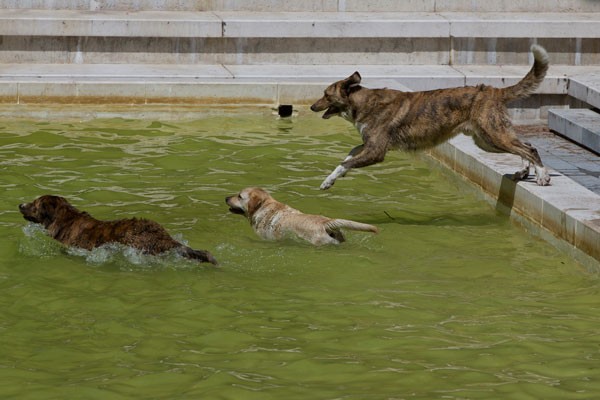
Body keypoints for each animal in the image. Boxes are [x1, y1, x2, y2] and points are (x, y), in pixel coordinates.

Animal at [312, 43, 552, 190]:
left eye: (325, 94)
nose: (313, 107)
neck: (363, 102)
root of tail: (493, 91)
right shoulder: (368, 145)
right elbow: (349, 156)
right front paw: (332, 178)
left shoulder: (376, 151)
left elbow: (346, 163)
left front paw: (329, 180)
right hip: (487, 140)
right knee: (526, 145)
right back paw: (523, 171)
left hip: (492, 135)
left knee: (529, 149)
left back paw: (542, 175)